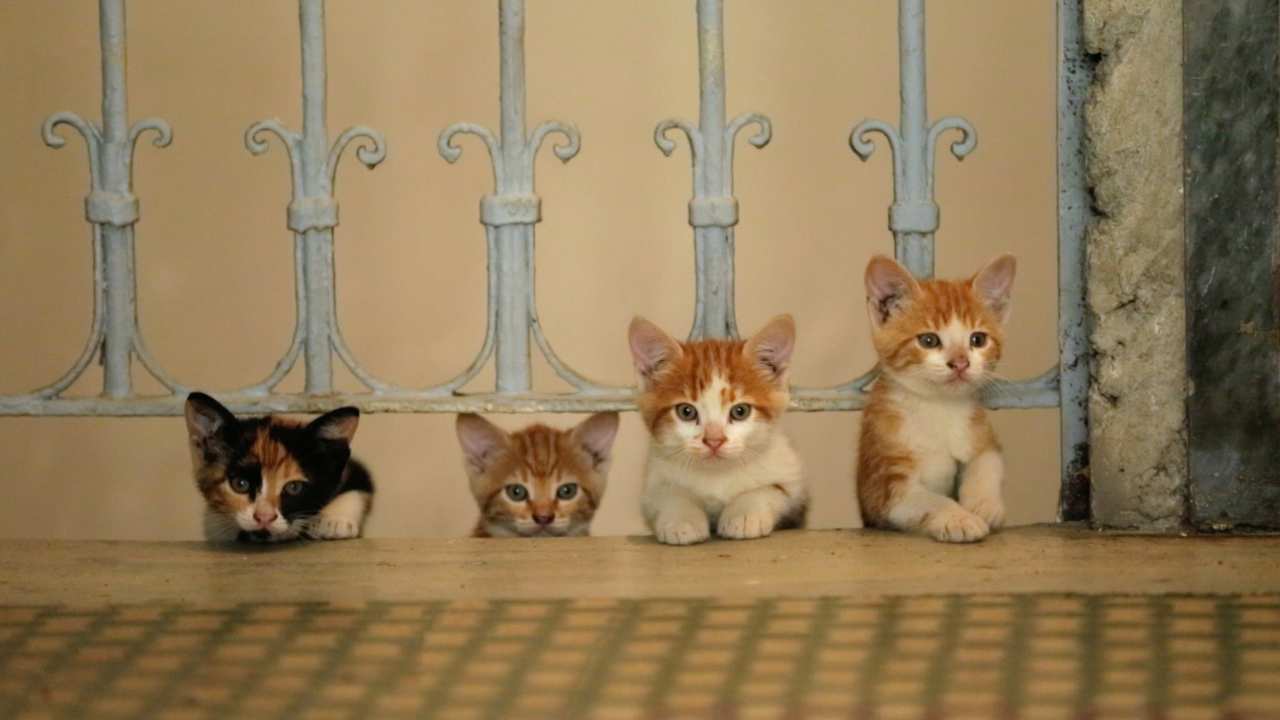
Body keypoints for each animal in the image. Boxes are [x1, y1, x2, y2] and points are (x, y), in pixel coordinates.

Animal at [185, 392, 373, 538]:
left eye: (294, 487)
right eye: (240, 484)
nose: (264, 517)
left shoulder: (352, 469)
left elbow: (359, 485)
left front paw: (334, 520)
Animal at [629, 313, 808, 543]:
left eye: (740, 411)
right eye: (686, 411)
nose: (714, 441)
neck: (718, 474)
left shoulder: (794, 488)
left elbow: (770, 489)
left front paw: (744, 514)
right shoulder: (652, 485)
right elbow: (668, 494)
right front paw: (682, 519)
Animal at [855, 252, 1013, 538]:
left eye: (978, 339)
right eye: (928, 341)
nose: (960, 363)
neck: (939, 406)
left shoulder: (981, 432)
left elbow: (988, 461)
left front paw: (984, 505)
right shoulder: (883, 486)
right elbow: (929, 499)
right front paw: (959, 518)